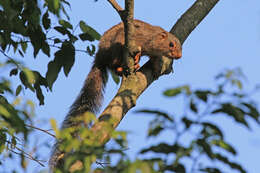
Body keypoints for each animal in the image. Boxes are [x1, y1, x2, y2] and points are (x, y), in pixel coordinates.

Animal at [49, 19, 183, 171]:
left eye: (179, 45)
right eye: (171, 44)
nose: (179, 56)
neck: (150, 38)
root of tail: (99, 58)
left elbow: (156, 59)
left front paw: (156, 66)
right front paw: (139, 54)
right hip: (114, 50)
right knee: (113, 64)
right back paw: (128, 65)